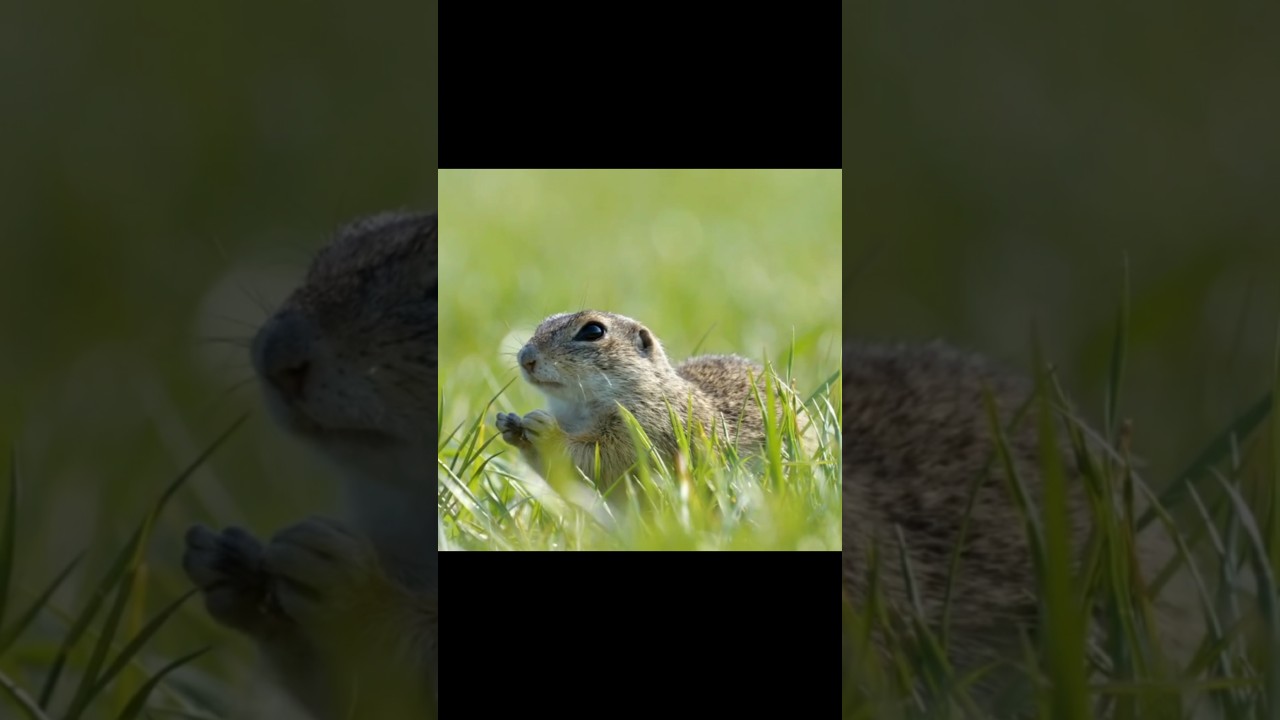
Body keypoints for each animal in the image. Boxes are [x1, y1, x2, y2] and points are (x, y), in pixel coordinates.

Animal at [495, 310, 799, 493]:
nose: (525, 357)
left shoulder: (645, 427)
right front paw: (510, 425)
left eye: (593, 331)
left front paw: (545, 429)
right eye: (541, 325)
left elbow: (600, 458)